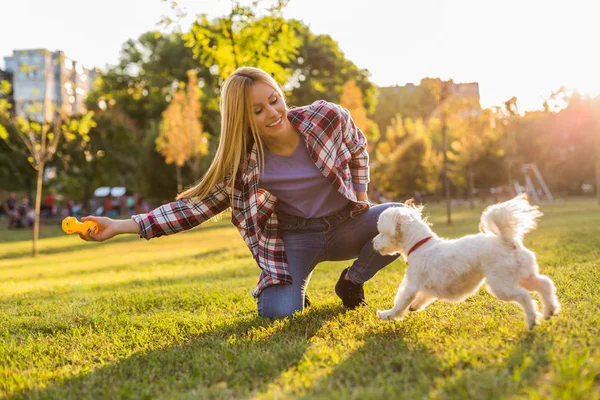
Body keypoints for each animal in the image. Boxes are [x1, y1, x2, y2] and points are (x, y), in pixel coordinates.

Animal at [372, 195, 560, 332]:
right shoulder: (428, 287)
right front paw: (414, 307)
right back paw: (549, 310)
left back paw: (532, 320)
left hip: (501, 284)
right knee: (545, 284)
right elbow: (422, 298)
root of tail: (508, 241)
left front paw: (387, 314)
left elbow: (401, 301)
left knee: (524, 296)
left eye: (381, 232)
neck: (420, 245)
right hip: (523, 274)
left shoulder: (412, 283)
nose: (373, 242)